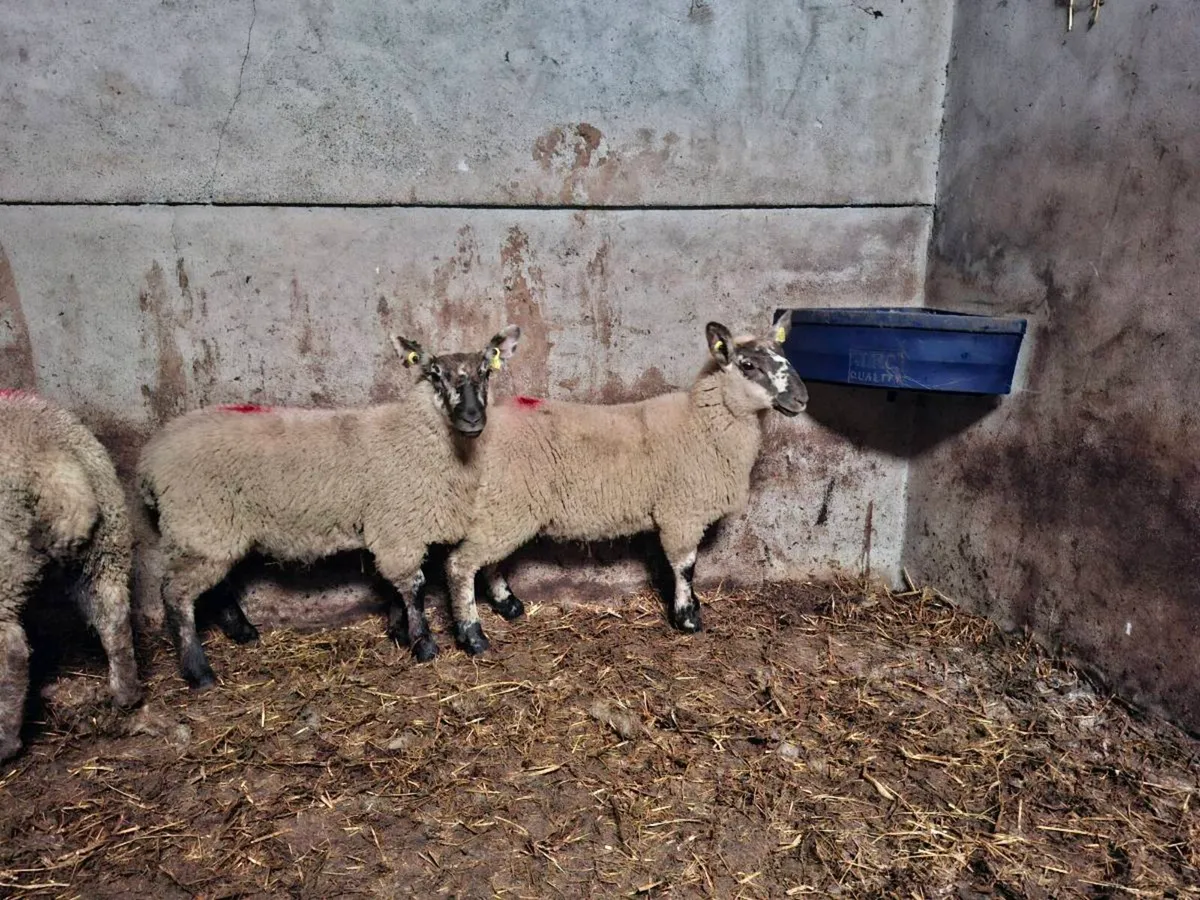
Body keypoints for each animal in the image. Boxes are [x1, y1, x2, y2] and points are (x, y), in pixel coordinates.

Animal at [0, 390, 142, 760]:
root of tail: (57, 467)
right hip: (106, 545)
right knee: (113, 616)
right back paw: (126, 694)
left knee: (11, 651)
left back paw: (5, 743)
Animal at [137, 326, 521, 688]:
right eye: (435, 374)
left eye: (486, 372)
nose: (472, 417)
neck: (412, 435)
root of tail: (150, 458)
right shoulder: (399, 529)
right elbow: (413, 587)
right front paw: (423, 644)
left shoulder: (387, 528)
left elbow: (392, 586)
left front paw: (399, 633)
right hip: (197, 523)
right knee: (175, 595)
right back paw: (198, 671)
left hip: (216, 530)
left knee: (214, 585)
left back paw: (242, 632)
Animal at [443, 313, 808, 655]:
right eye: (748, 365)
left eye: (784, 355)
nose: (802, 399)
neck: (703, 423)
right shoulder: (681, 513)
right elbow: (685, 567)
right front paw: (688, 618)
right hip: (508, 506)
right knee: (461, 565)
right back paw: (473, 636)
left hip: (502, 508)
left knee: (487, 561)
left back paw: (508, 605)